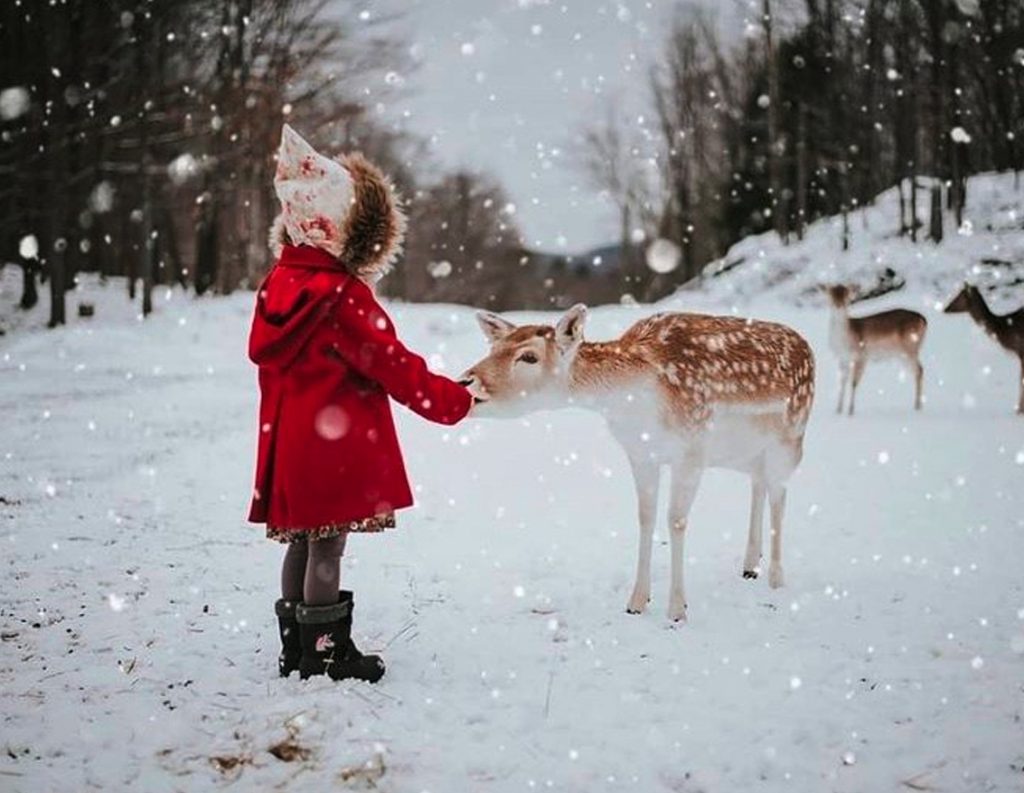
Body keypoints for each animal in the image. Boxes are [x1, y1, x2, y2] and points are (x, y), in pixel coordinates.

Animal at [462, 305, 815, 622]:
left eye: (529, 357)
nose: (467, 380)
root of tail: (808, 349)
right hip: (749, 453)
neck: (637, 401)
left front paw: (677, 610)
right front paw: (636, 602)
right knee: (759, 483)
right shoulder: (640, 453)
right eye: (493, 347)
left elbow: (675, 520)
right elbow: (645, 517)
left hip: (791, 439)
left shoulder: (691, 451)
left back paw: (776, 578)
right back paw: (749, 565)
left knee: (780, 495)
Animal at [823, 284, 929, 415]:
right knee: (917, 371)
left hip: (910, 347)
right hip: (903, 354)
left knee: (919, 369)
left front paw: (850, 411)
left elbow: (854, 382)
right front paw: (838, 410)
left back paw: (917, 406)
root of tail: (924, 320)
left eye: (846, 294)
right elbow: (842, 381)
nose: (839, 304)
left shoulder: (861, 355)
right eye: (831, 294)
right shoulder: (843, 358)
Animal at [942, 282, 1024, 415]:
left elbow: (1020, 379)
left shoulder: (1021, 351)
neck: (1004, 330)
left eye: (960, 295)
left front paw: (1018, 410)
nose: (945, 309)